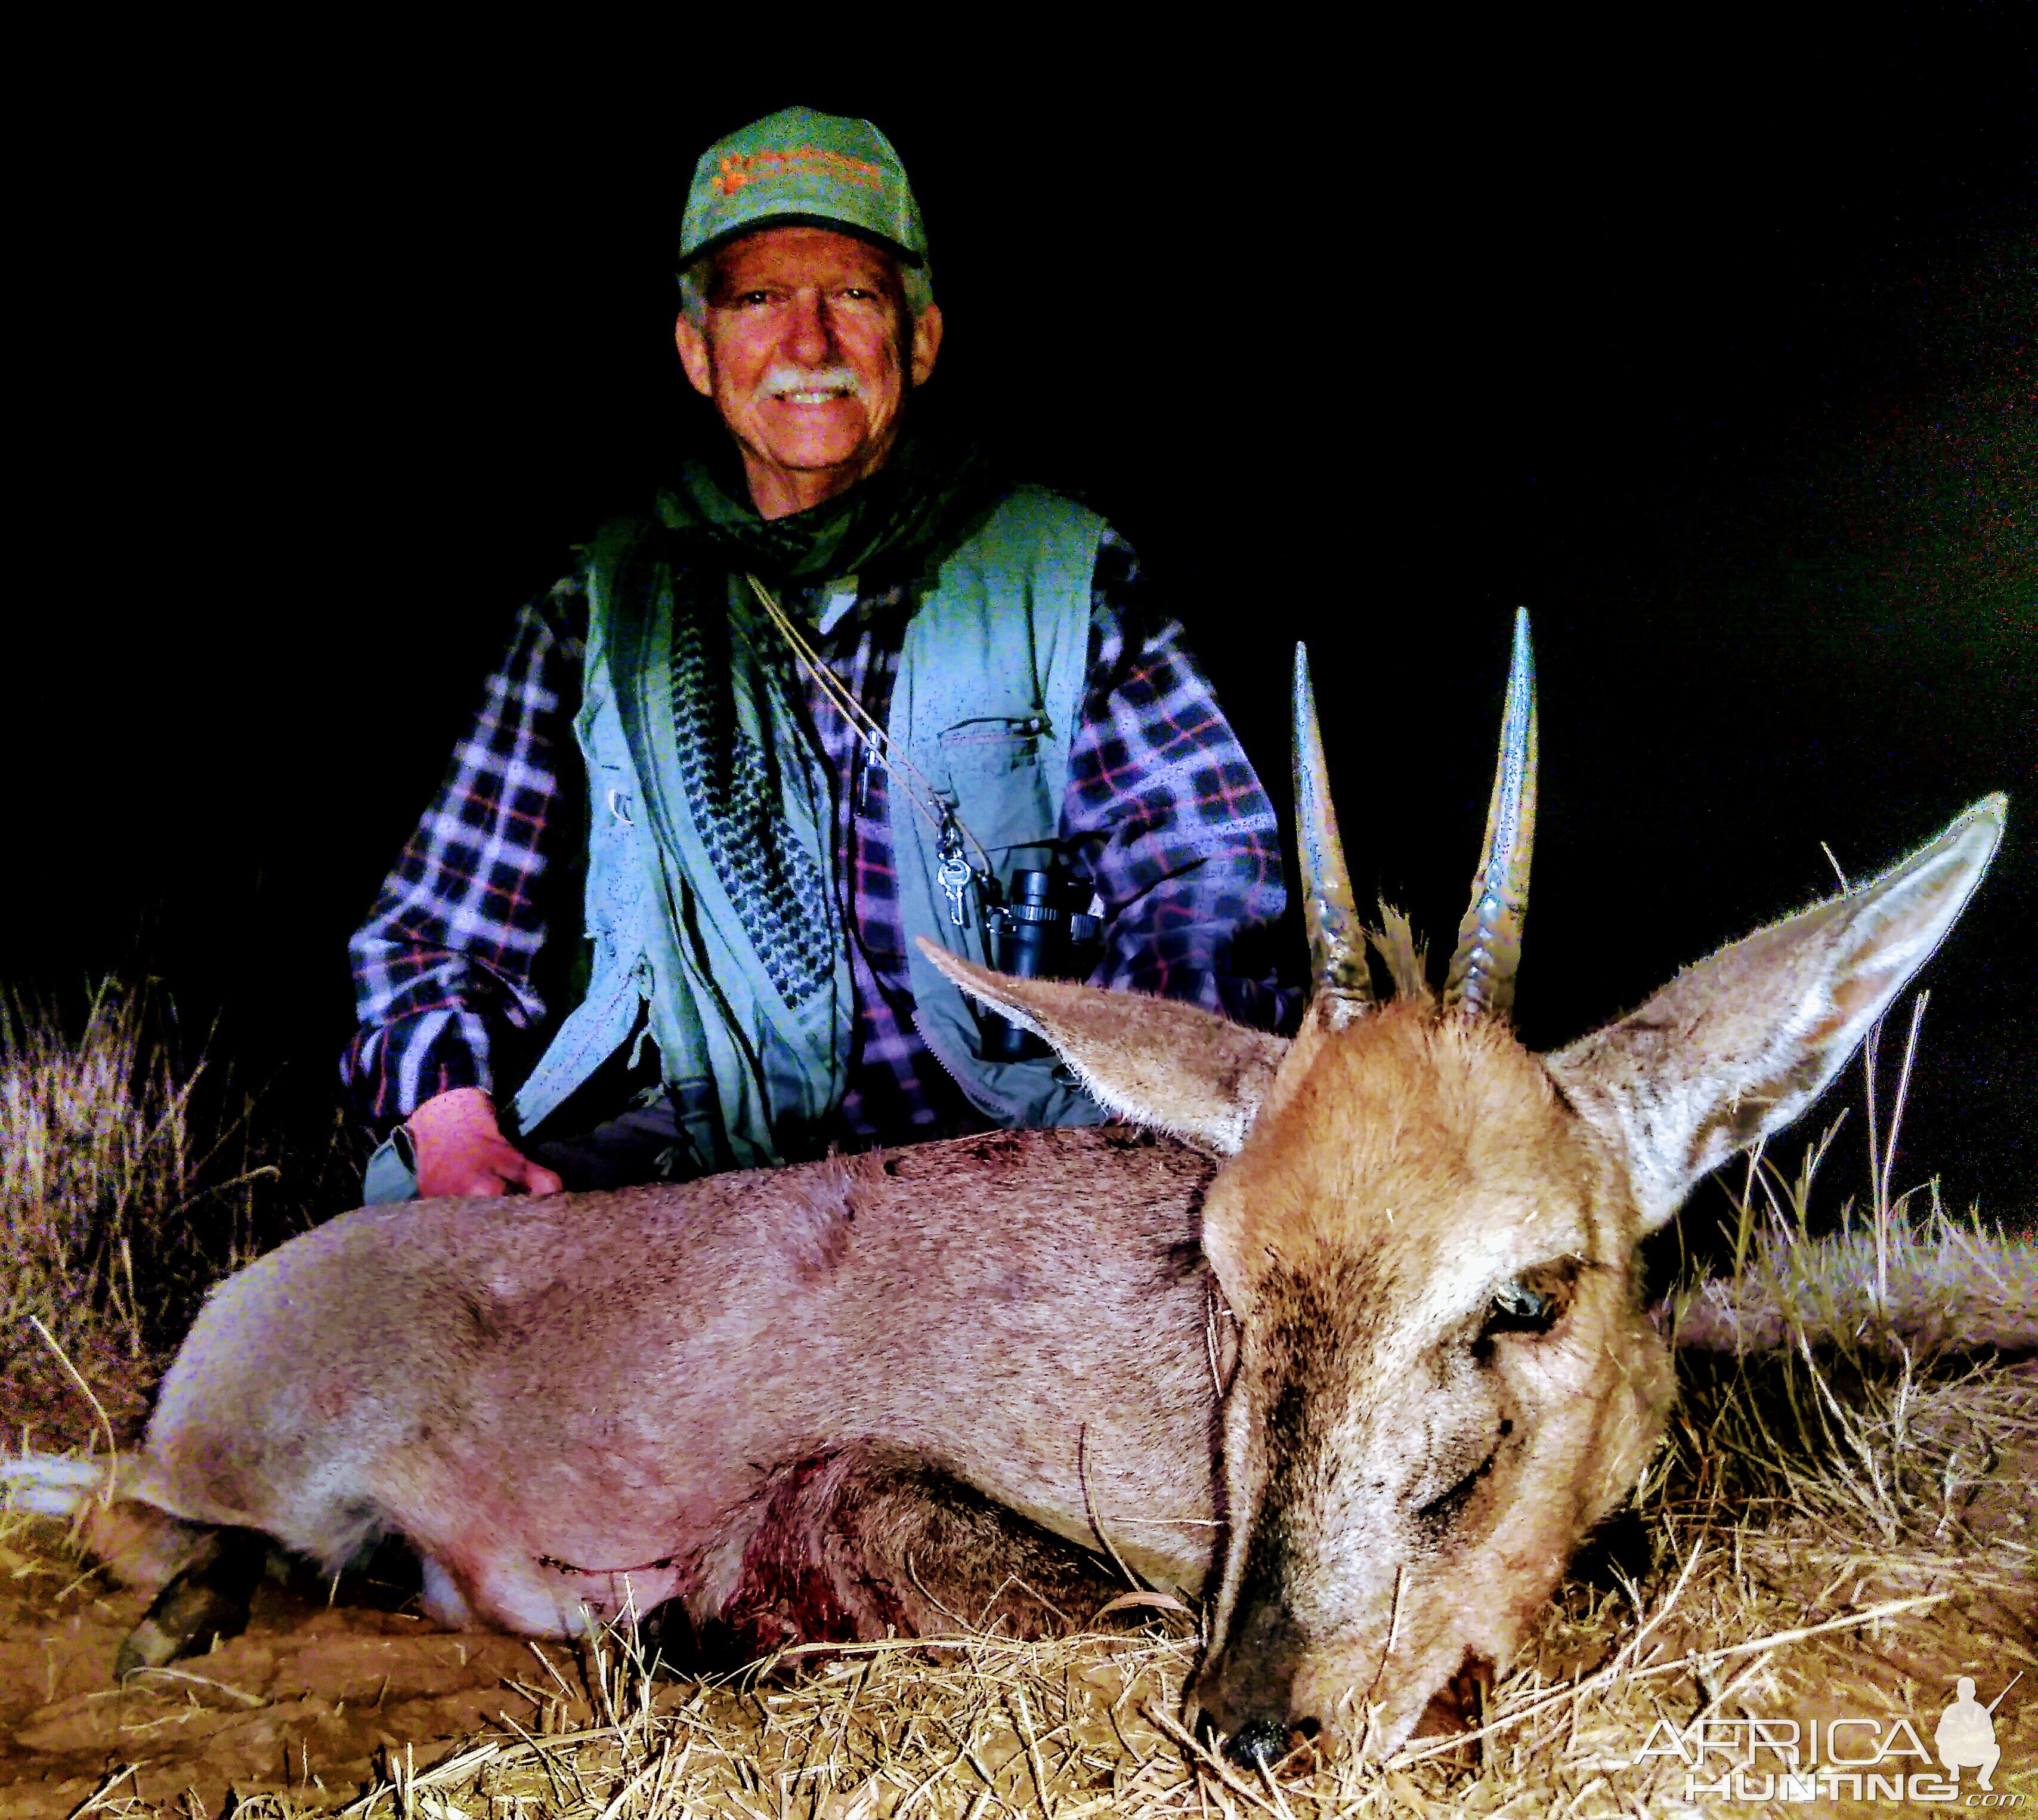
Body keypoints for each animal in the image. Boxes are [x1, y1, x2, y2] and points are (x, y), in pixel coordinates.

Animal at [0, 611, 2005, 1760]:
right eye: (1218, 1271)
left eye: (1526, 1292)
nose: (1253, 1720)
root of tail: (226, 1321)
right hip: (243, 1462)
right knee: (121, 1511)